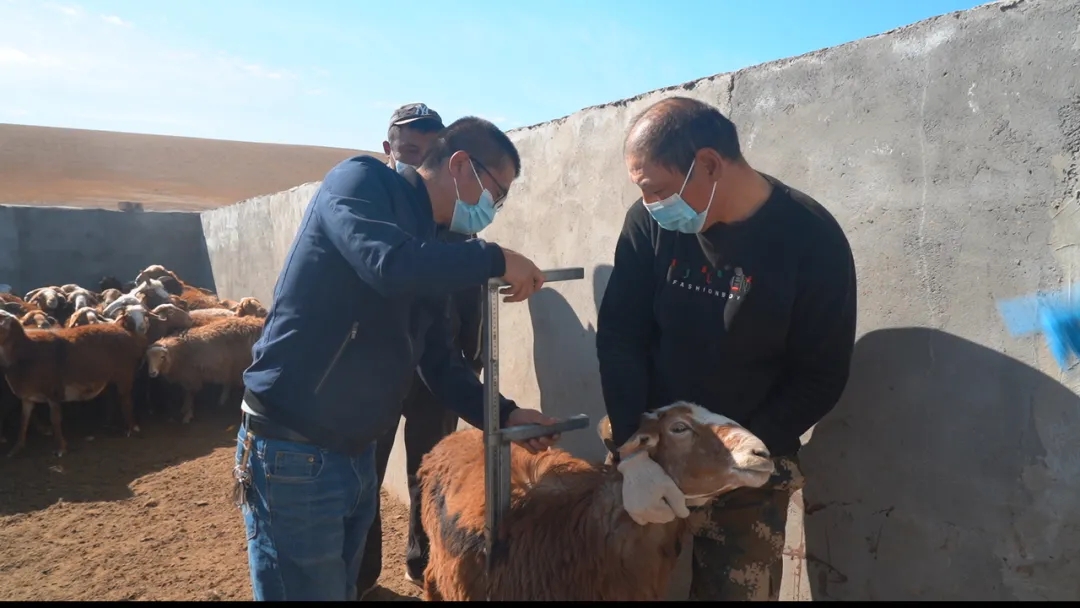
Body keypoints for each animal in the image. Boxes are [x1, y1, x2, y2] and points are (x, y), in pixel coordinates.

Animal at [0, 307, 149, 457]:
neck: (25, 351)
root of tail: (124, 329)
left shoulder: (54, 392)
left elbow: (55, 419)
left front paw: (60, 448)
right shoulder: (27, 397)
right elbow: (23, 421)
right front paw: (16, 448)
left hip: (125, 375)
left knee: (126, 401)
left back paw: (131, 428)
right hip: (111, 378)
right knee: (112, 398)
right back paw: (109, 423)